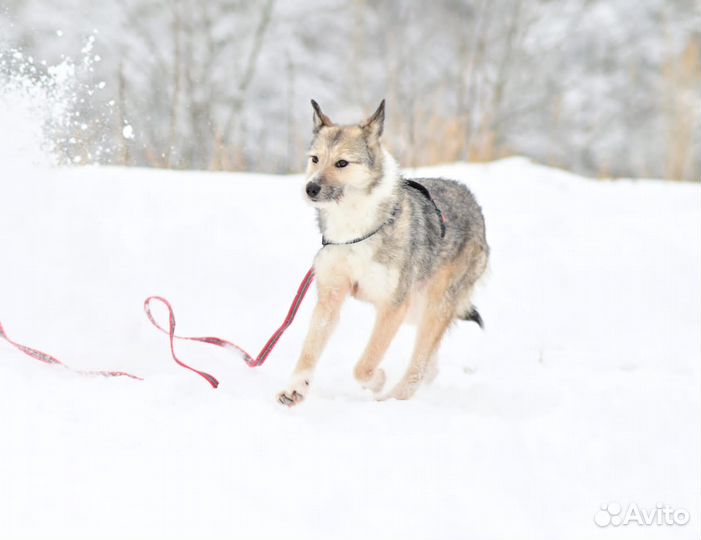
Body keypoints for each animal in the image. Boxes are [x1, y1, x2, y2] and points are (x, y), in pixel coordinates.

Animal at [278, 100, 486, 404]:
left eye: (342, 163)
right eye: (315, 159)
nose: (310, 188)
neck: (354, 230)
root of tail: (473, 201)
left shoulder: (393, 306)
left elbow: (364, 365)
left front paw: (377, 381)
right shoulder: (331, 296)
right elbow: (309, 350)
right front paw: (294, 388)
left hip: (432, 305)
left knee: (418, 364)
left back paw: (393, 398)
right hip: (417, 309)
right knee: (429, 361)